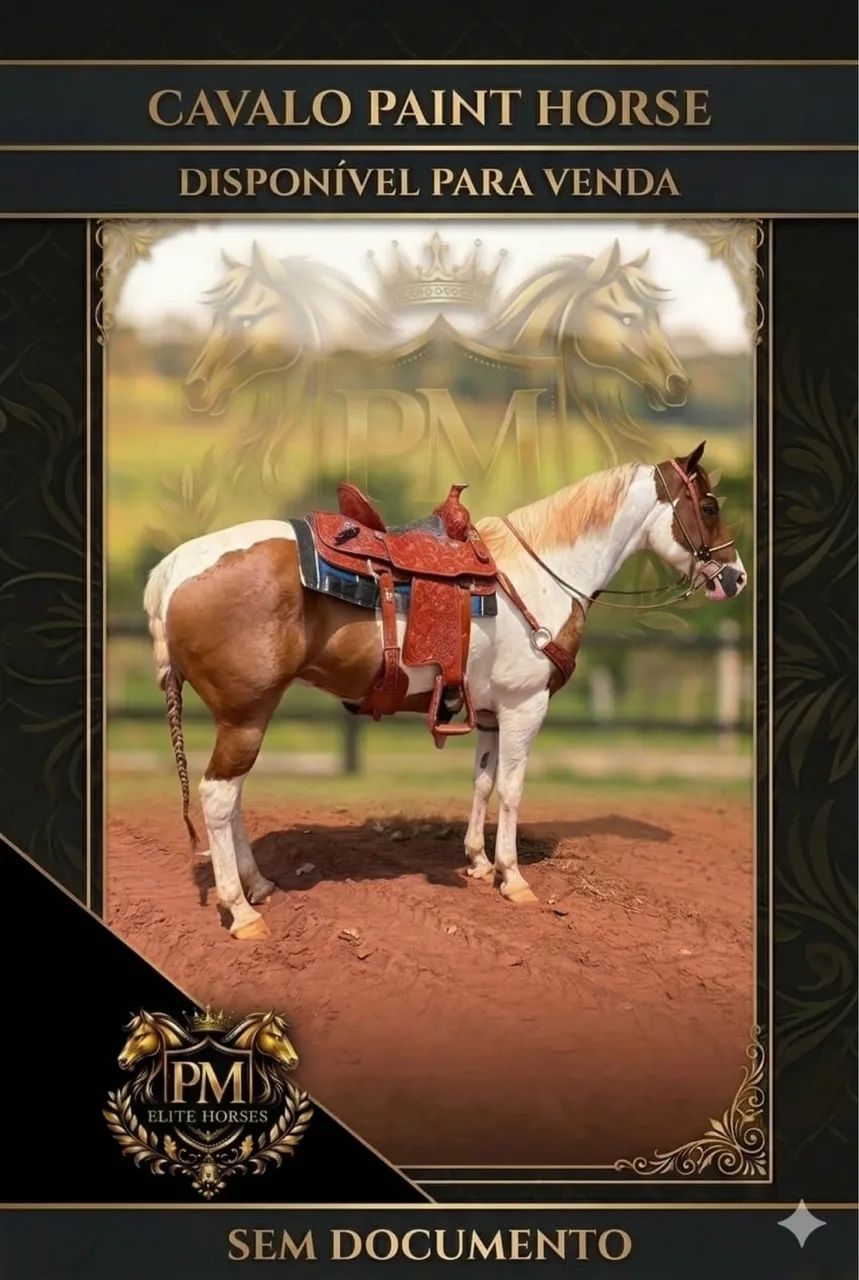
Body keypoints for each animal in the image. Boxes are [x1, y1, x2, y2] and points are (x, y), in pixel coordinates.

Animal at [143, 441, 746, 941]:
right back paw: (241, 911)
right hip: (246, 715)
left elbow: (482, 782)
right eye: (709, 504)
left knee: (232, 797)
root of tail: (173, 569)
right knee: (218, 797)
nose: (736, 576)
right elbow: (512, 790)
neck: (542, 575)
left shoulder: (490, 714)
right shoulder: (526, 707)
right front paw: (513, 878)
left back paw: (258, 885)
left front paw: (478, 862)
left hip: (244, 718)